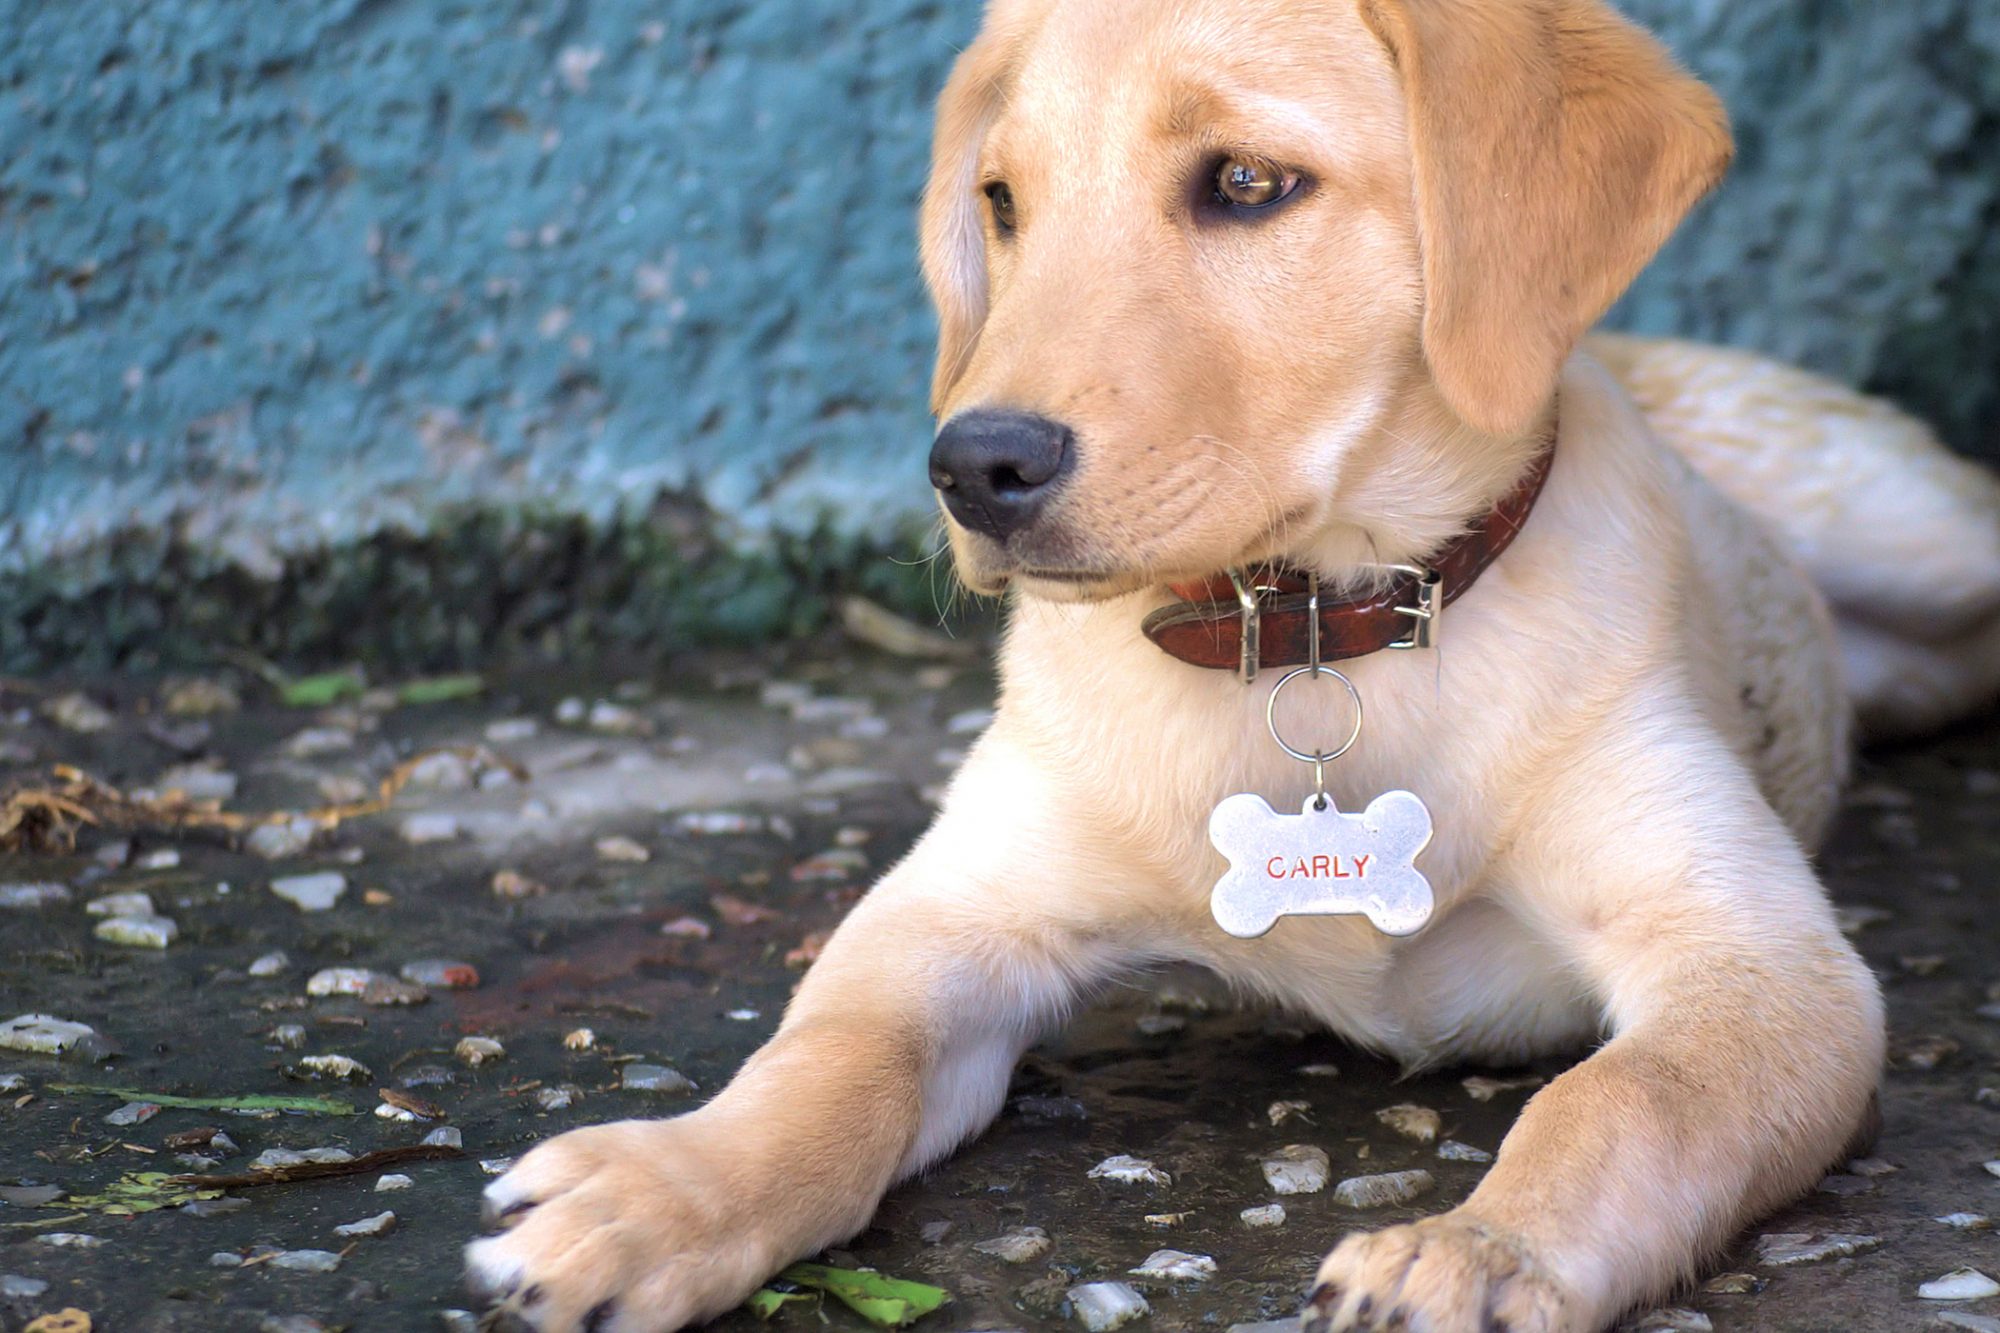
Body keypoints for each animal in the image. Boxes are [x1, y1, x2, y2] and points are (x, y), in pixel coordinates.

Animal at [464, 2, 2000, 1328]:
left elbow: (1621, 1103)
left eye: (1249, 183)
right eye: (1000, 203)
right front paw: (665, 1191)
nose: (972, 467)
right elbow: (828, 1057)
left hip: (1921, 532)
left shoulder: (1759, 962)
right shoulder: (955, 914)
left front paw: (1479, 1248)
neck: (1311, 631)